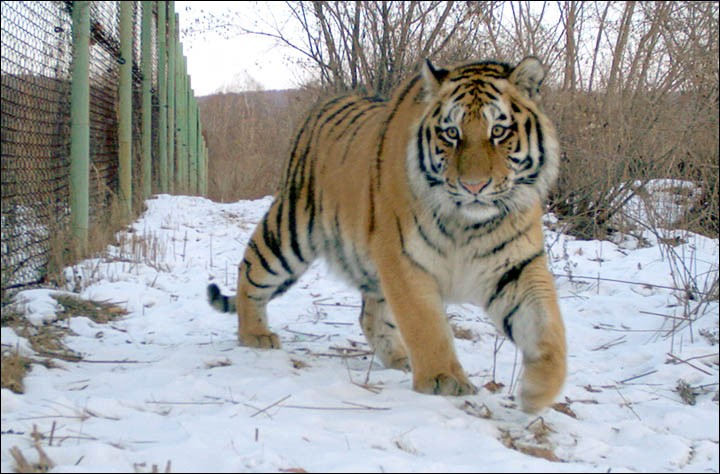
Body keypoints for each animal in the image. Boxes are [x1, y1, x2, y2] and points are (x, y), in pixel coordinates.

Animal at [208, 54, 568, 412]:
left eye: (499, 131)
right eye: (451, 133)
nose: (474, 186)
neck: (468, 223)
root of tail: (323, 105)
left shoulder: (516, 267)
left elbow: (548, 328)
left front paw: (539, 391)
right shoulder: (405, 259)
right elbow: (426, 325)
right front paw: (444, 380)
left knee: (371, 315)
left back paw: (397, 358)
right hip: (290, 232)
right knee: (251, 272)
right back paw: (255, 335)